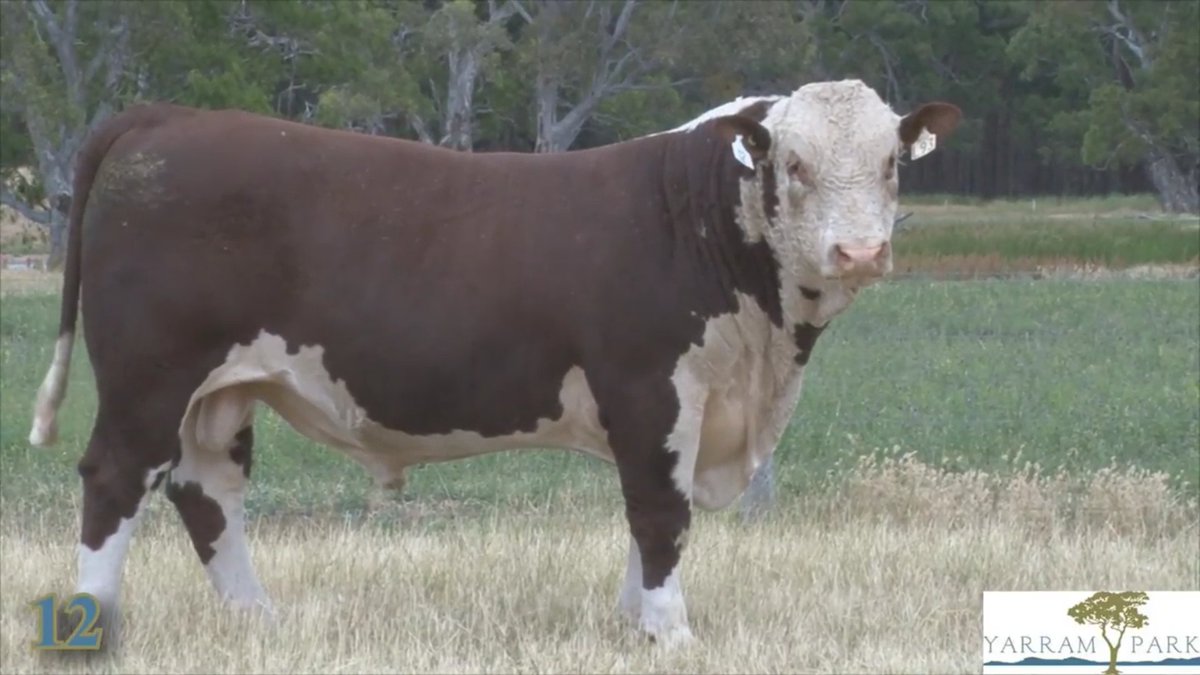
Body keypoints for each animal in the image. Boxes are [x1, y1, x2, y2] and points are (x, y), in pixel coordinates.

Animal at [28, 79, 960, 650]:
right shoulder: (648, 389)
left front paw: (635, 623)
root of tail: (166, 115)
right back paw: (93, 622)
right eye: (793, 165)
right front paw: (671, 632)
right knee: (115, 479)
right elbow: (660, 512)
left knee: (206, 488)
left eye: (889, 163)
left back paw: (262, 620)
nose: (860, 250)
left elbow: (651, 516)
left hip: (221, 389)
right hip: (149, 374)